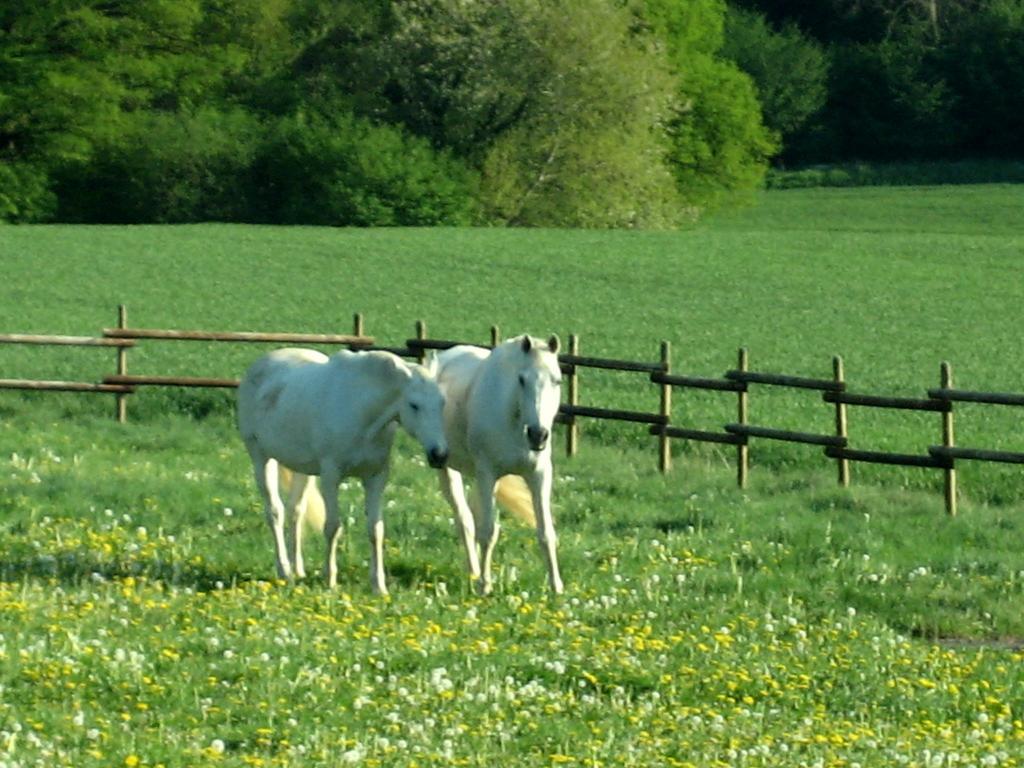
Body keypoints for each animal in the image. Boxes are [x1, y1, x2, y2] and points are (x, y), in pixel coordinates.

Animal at [241, 348, 450, 593]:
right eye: (414, 405)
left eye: (442, 402)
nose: (439, 454)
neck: (362, 413)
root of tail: (261, 363)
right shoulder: (331, 476)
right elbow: (332, 527)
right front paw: (330, 581)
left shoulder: (376, 478)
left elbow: (376, 530)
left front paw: (379, 586)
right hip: (261, 457)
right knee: (275, 512)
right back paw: (284, 571)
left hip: (303, 470)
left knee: (296, 511)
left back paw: (297, 569)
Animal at [432, 335, 561, 593]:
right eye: (521, 379)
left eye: (557, 381)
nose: (538, 435)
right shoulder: (487, 473)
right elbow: (488, 532)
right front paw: (485, 585)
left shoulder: (539, 475)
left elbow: (546, 533)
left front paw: (557, 588)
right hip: (450, 470)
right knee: (465, 520)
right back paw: (474, 574)